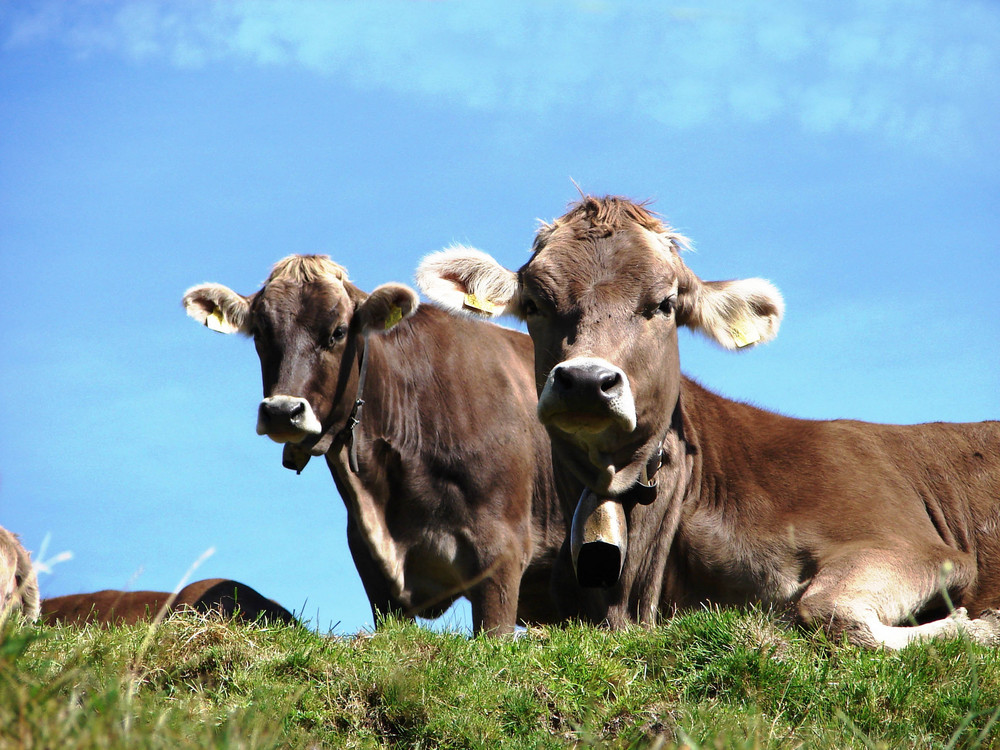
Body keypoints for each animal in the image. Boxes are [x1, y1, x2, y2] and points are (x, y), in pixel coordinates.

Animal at [416, 197, 1000, 648]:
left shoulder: (913, 545)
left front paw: (978, 628)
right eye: (536, 304)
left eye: (664, 304)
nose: (585, 380)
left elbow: (827, 609)